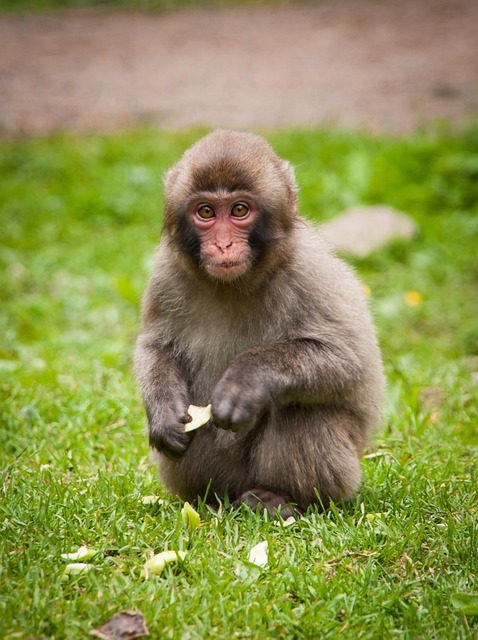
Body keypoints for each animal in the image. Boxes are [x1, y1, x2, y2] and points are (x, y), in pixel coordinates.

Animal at [134, 130, 384, 520]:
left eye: (239, 210)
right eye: (206, 212)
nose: (223, 244)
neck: (237, 283)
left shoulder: (310, 270)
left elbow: (351, 359)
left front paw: (246, 379)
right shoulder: (166, 273)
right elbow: (155, 345)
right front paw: (162, 413)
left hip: (342, 474)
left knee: (302, 409)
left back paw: (279, 497)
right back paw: (209, 499)